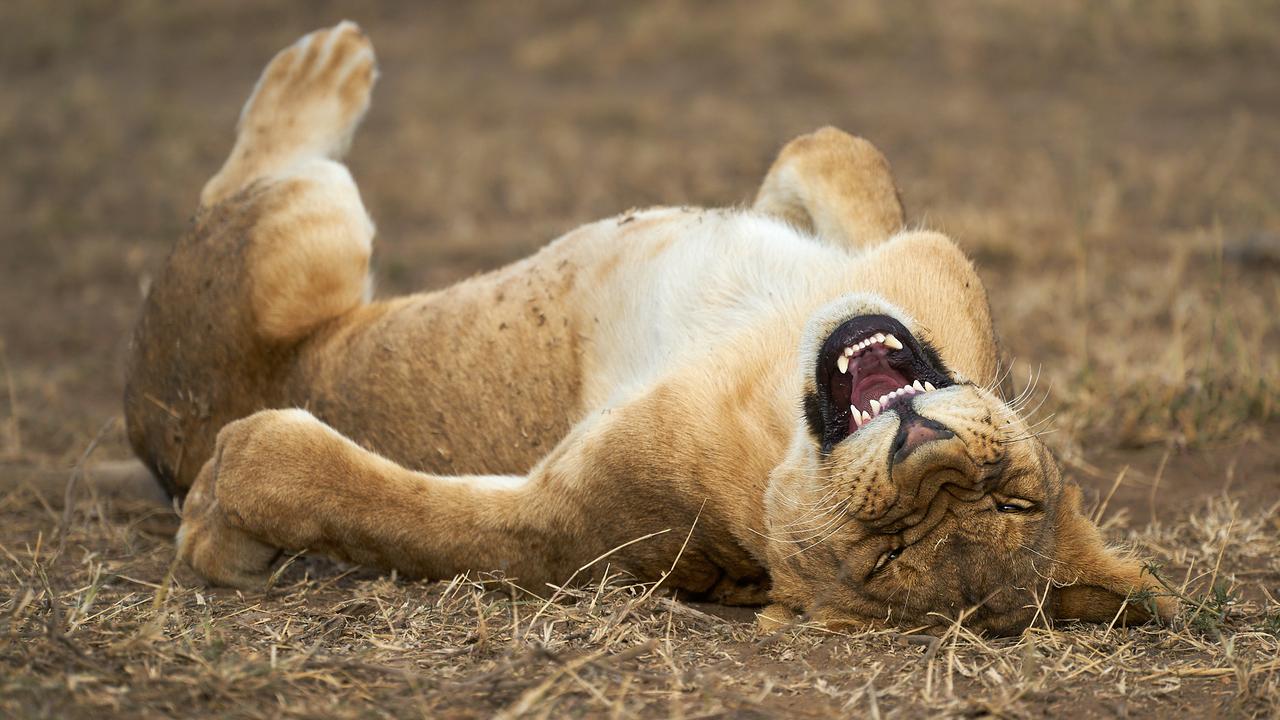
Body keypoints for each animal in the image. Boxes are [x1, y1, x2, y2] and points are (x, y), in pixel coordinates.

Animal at [124, 22, 1172, 630]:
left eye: (888, 556)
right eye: (1015, 501)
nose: (933, 459)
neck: (772, 383)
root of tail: (146, 428)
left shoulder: (569, 526)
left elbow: (369, 503)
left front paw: (218, 521)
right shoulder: (902, 255)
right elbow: (838, 149)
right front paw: (777, 194)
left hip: (306, 234)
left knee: (257, 183)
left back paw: (321, 69)